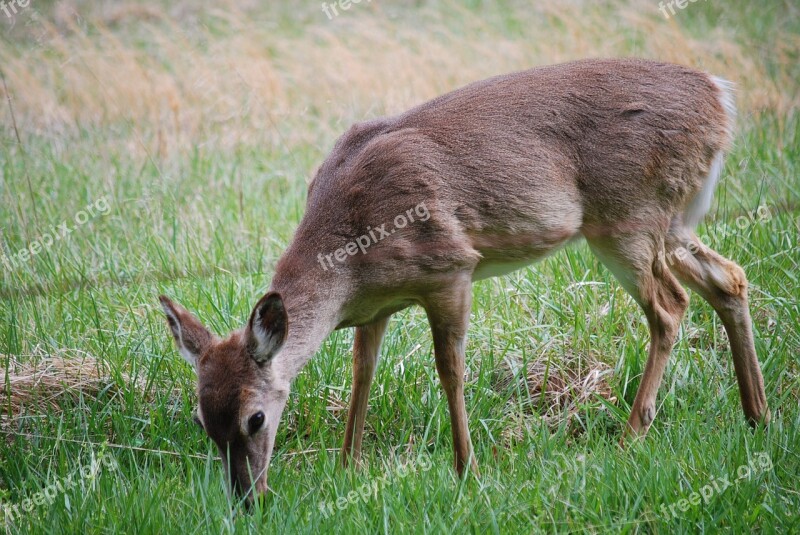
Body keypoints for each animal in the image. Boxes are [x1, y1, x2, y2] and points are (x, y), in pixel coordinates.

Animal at [161, 57, 768, 502]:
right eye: (201, 421)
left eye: (256, 418)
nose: (246, 499)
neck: (351, 255)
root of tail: (720, 96)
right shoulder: (376, 306)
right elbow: (362, 372)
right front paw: (348, 467)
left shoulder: (450, 268)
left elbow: (449, 370)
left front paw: (466, 470)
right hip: (670, 221)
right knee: (730, 278)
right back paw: (757, 415)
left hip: (628, 216)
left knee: (670, 306)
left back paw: (631, 436)